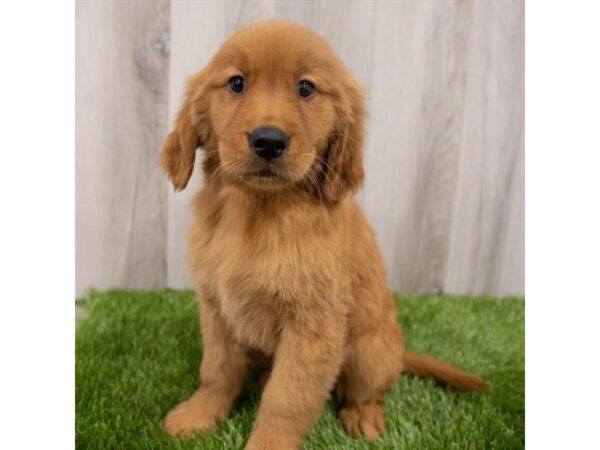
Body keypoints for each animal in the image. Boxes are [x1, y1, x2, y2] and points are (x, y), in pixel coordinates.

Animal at [158, 18, 482, 450]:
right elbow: (218, 370)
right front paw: (199, 414)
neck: (259, 212)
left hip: (368, 351)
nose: (268, 141)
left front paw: (267, 444)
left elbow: (286, 397)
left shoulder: (313, 324)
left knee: (369, 390)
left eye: (306, 88)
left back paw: (364, 417)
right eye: (236, 83)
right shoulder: (217, 310)